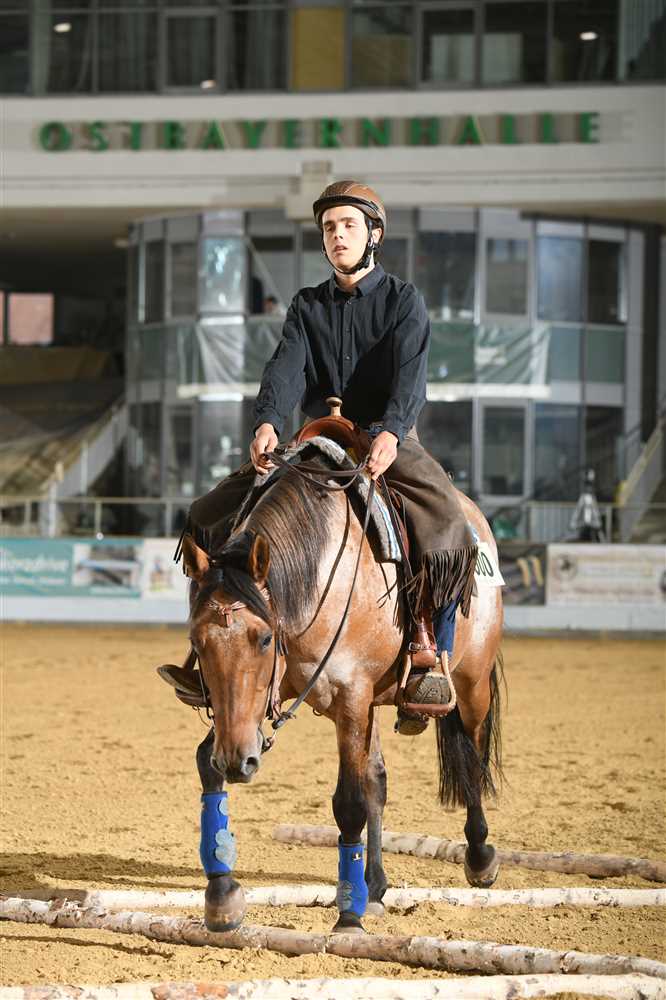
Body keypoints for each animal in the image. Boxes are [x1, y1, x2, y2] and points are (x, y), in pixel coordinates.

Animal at [179, 450, 504, 934]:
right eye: (198, 643)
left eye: (264, 639)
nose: (238, 761)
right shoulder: (265, 704)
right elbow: (206, 764)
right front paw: (222, 894)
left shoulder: (351, 696)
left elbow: (349, 802)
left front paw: (349, 916)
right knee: (378, 779)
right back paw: (376, 885)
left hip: (472, 682)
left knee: (472, 753)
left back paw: (480, 856)